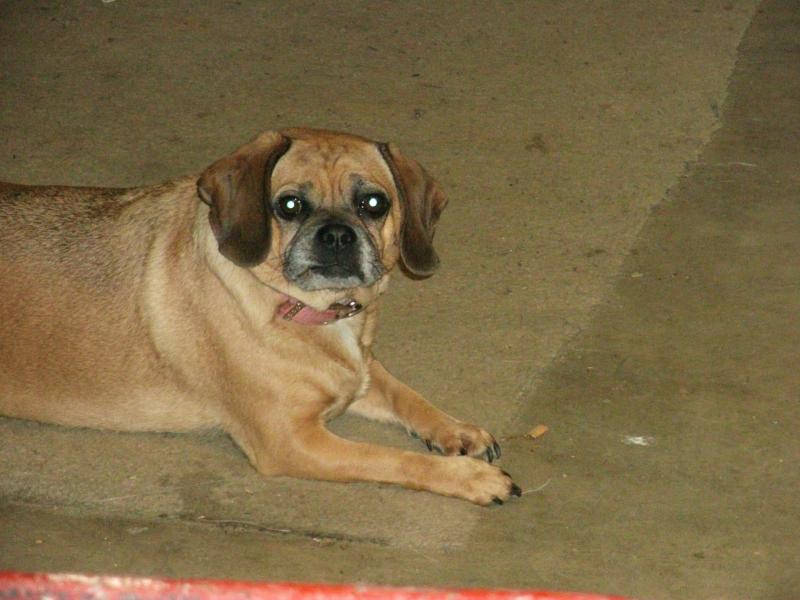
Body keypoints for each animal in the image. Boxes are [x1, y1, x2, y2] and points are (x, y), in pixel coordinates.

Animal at [0, 129, 520, 504]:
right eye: (289, 205)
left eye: (374, 203)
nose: (336, 236)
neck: (312, 311)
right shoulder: (292, 442)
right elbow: (390, 459)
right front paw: (471, 478)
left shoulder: (361, 376)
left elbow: (406, 396)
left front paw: (456, 431)